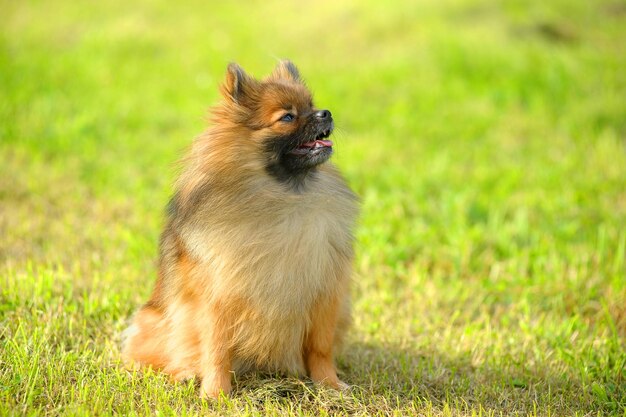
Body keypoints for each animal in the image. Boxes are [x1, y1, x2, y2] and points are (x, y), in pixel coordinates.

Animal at [122, 60, 356, 398]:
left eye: (312, 106)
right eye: (287, 117)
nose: (325, 113)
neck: (283, 198)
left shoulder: (324, 293)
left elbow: (320, 348)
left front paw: (329, 384)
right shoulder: (218, 298)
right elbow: (217, 349)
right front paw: (216, 394)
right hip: (153, 320)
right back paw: (182, 373)